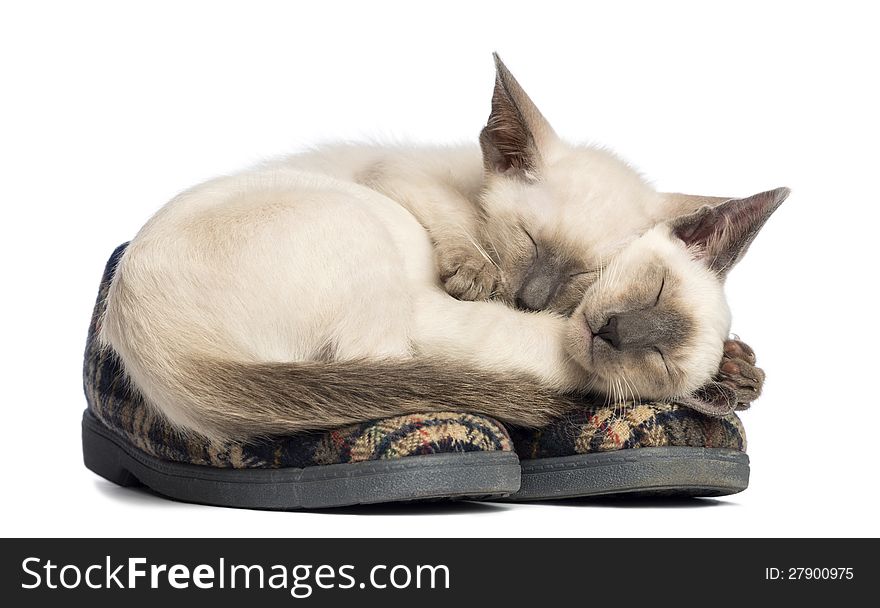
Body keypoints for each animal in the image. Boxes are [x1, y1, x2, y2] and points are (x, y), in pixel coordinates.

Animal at [99, 55, 788, 442]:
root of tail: (144, 341)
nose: (530, 300)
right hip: (363, 236)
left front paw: (739, 371)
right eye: (654, 287)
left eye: (584, 274)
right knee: (389, 371)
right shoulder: (412, 180)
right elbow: (450, 225)